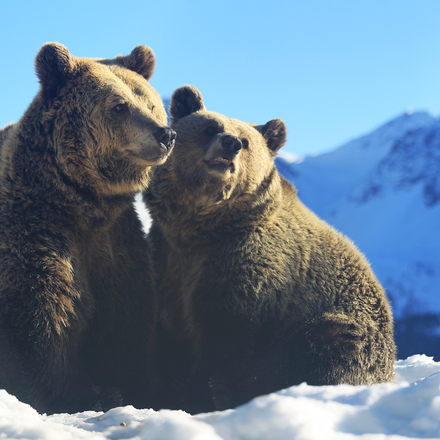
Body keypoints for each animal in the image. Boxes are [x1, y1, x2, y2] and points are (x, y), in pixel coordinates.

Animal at [0, 43, 175, 414]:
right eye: (119, 105)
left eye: (151, 102)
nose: (165, 134)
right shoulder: (37, 231)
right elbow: (45, 321)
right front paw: (82, 395)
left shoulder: (117, 245)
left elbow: (127, 323)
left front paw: (137, 388)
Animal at [144, 85, 396, 412]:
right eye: (210, 128)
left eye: (247, 141)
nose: (231, 143)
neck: (202, 228)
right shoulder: (167, 258)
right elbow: (167, 332)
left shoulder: (249, 265)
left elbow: (226, 334)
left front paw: (203, 391)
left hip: (352, 327)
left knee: (325, 346)